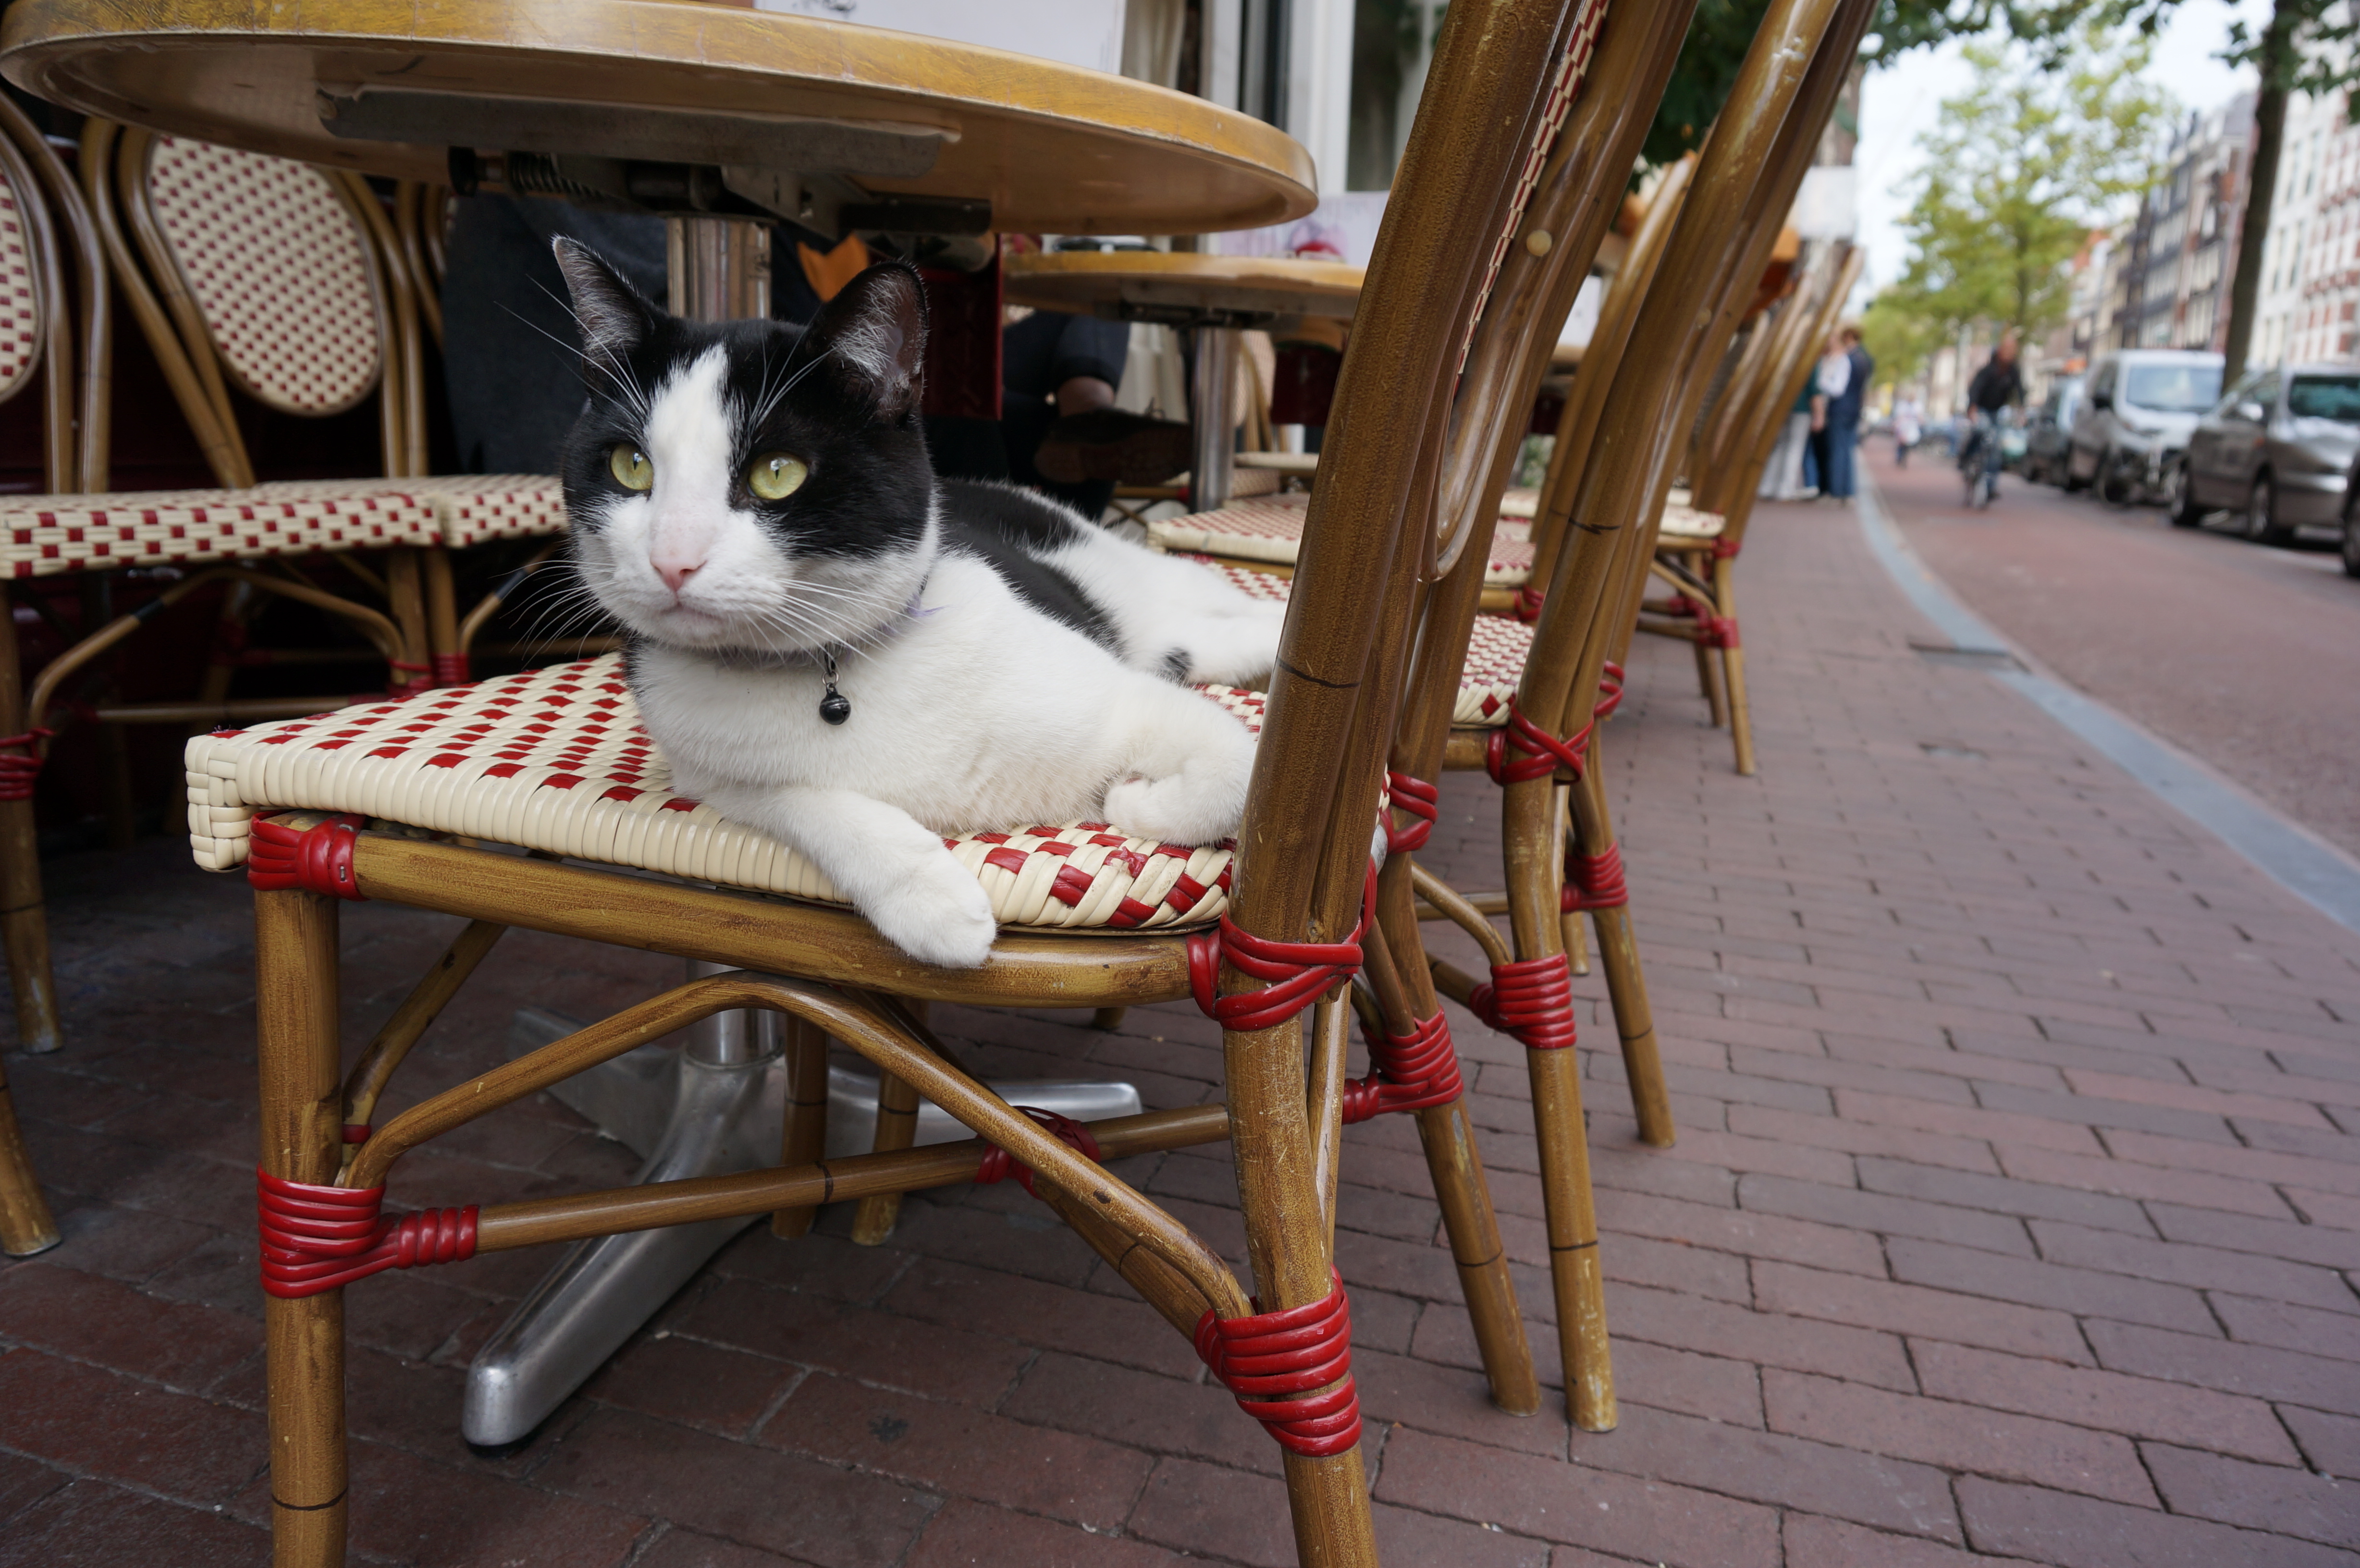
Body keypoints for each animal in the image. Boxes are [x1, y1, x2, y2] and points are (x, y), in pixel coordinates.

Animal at [552, 240, 1285, 969]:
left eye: (776, 473)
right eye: (630, 466)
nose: (672, 560)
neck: (827, 671)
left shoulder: (1128, 701)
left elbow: (1231, 771)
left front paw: (1135, 803)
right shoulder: (709, 778)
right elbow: (800, 802)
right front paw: (930, 901)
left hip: (1152, 602)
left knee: (1234, 618)